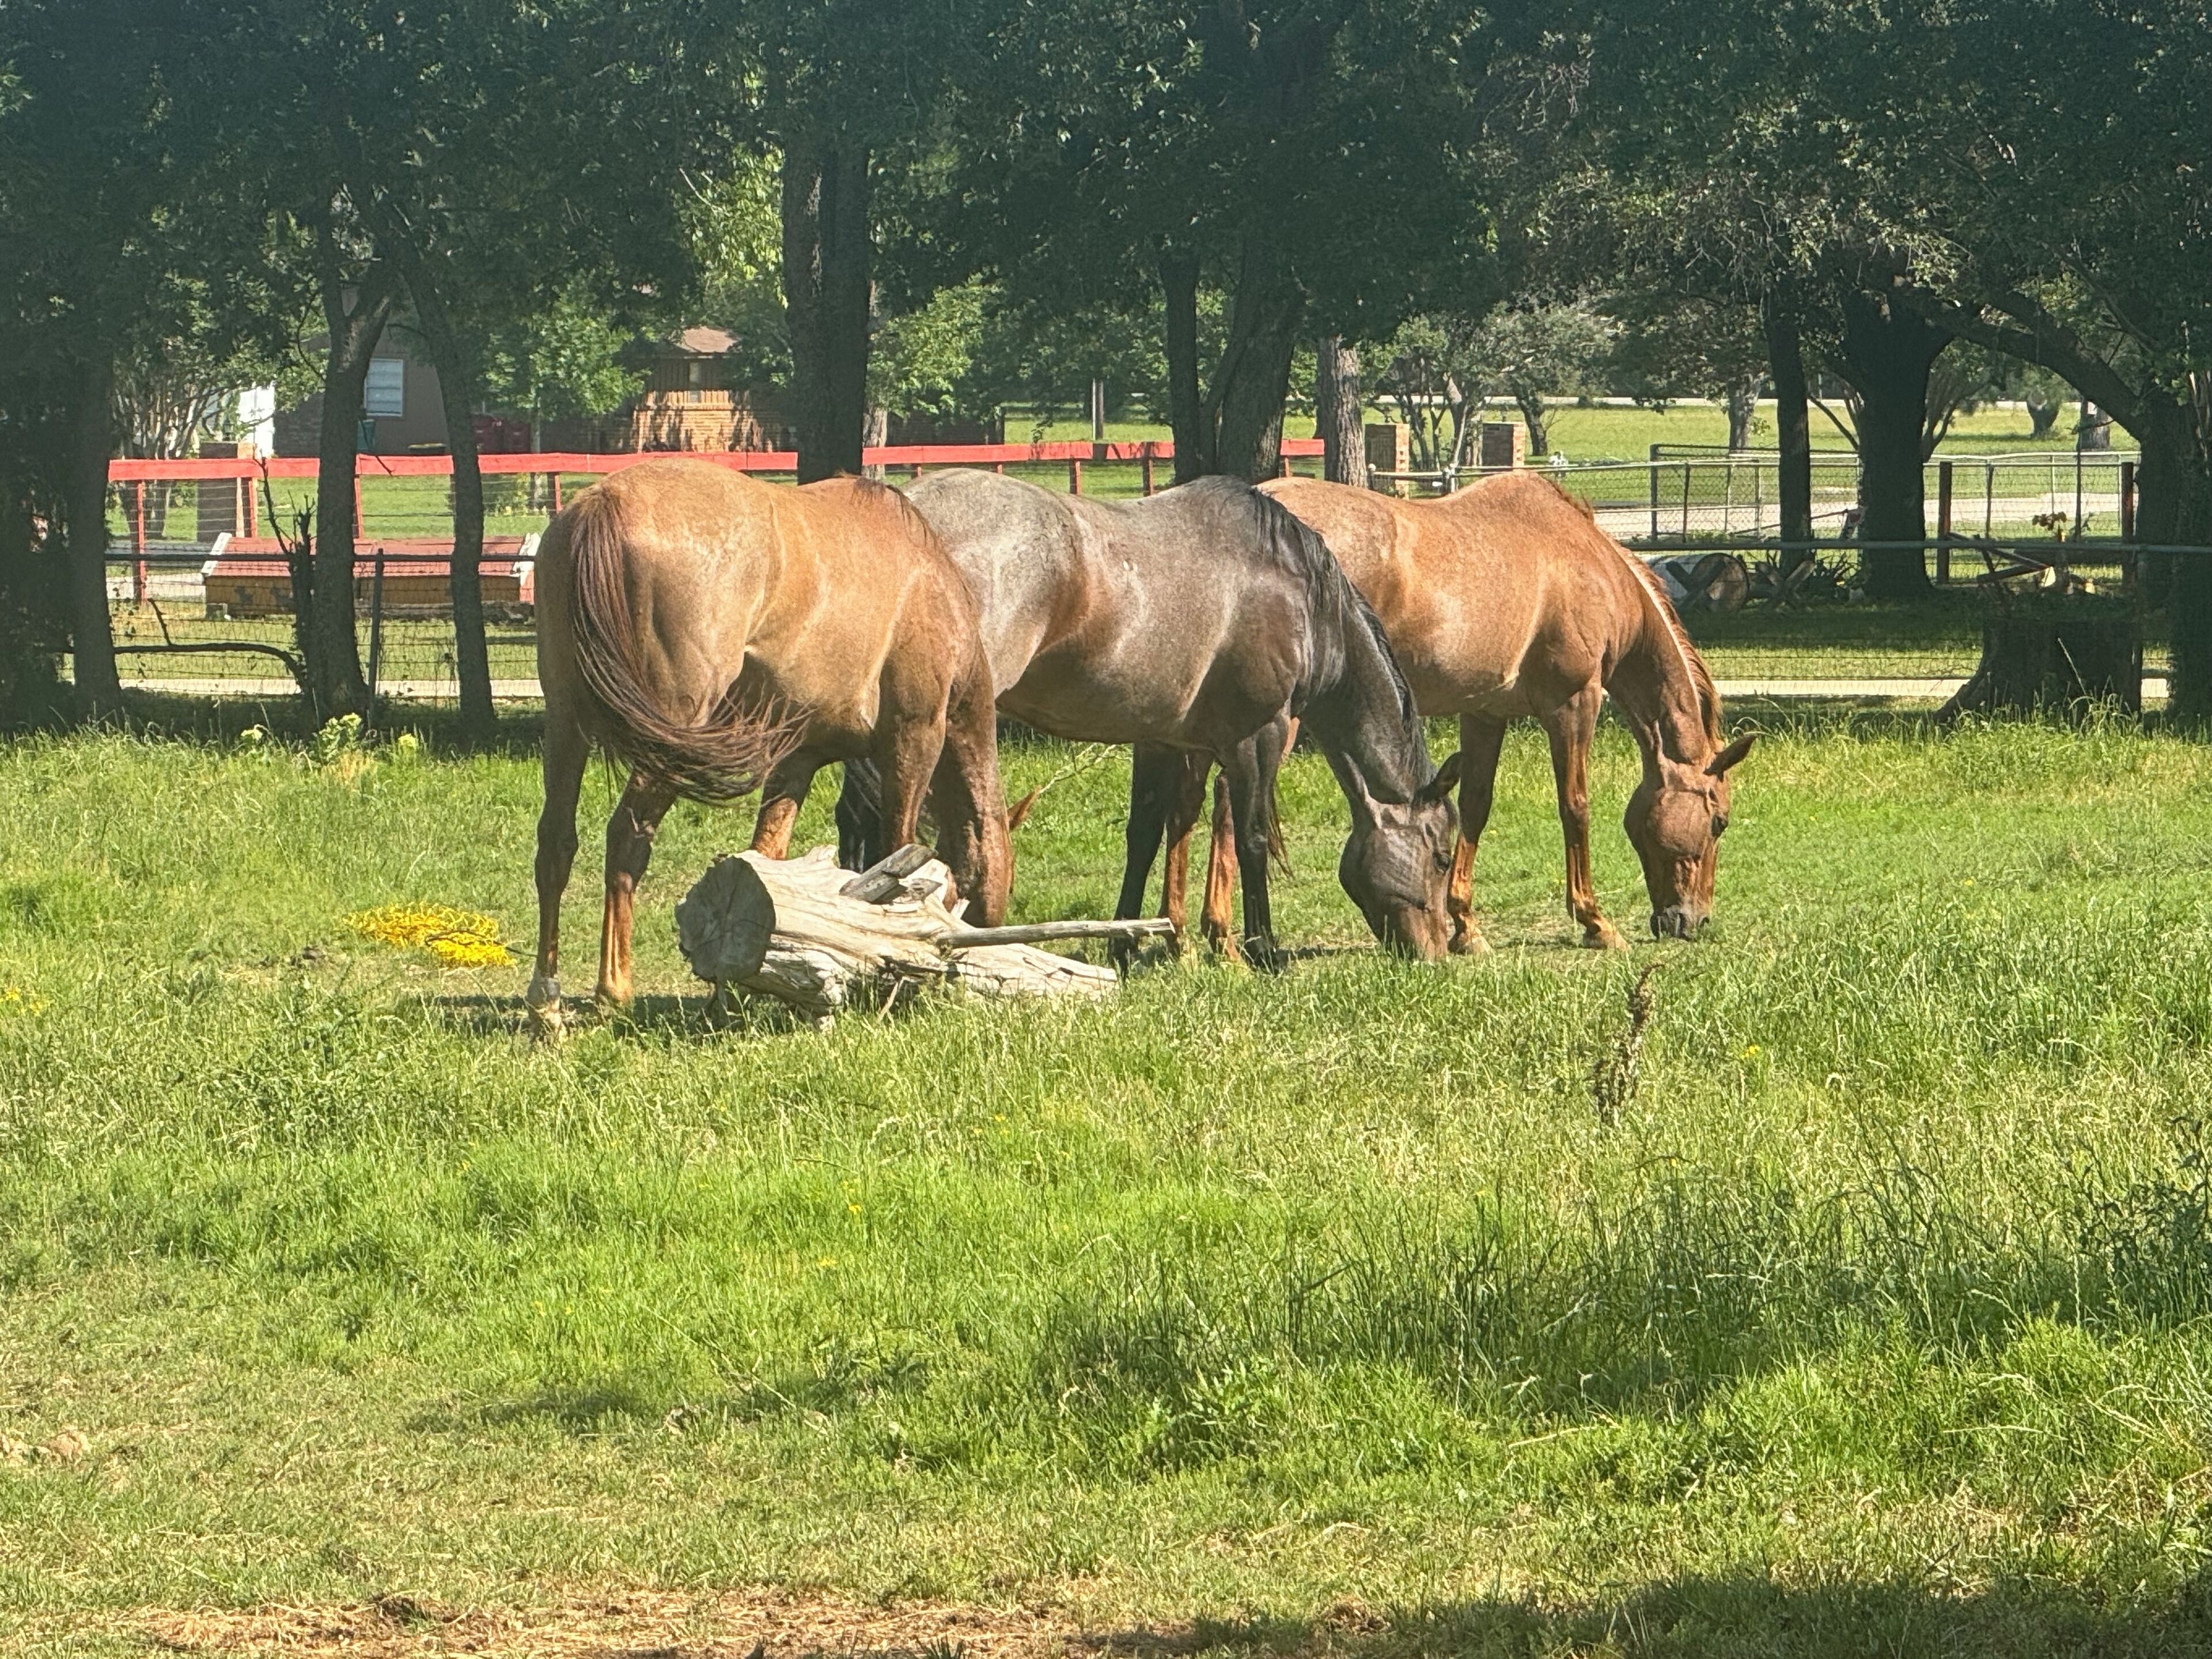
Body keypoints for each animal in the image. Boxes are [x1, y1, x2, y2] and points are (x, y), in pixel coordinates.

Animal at [526, 458, 1011, 1023]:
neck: (931, 581)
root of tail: (606, 502)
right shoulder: (915, 737)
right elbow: (898, 846)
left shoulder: (796, 760)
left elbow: (767, 858)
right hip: (668, 733)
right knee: (626, 840)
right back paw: (613, 992)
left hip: (566, 724)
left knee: (556, 844)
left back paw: (546, 1001)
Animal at [837, 470, 1461, 967]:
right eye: (1441, 856)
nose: (1435, 951)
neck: (1302, 599)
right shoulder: (1257, 737)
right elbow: (1252, 839)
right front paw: (1263, 949)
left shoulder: (1161, 740)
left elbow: (1145, 835)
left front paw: (1127, 940)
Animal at [1166, 471, 1752, 951]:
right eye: (1719, 821)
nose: (1693, 921)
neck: (1588, 565)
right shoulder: (1573, 705)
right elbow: (1575, 807)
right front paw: (1595, 922)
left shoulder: (1485, 714)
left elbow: (1475, 805)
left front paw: (1465, 926)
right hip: (1274, 722)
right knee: (1229, 802)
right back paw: (1222, 936)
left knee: (1188, 804)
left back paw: (1178, 936)